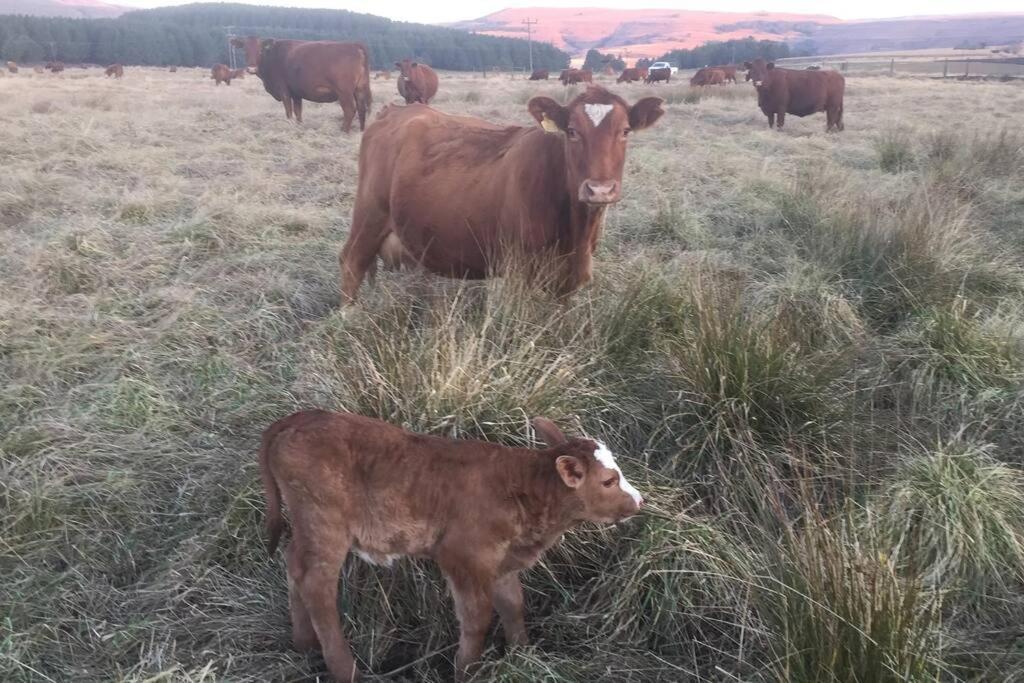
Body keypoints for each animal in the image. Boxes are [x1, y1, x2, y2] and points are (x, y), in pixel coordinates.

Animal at [231, 36, 372, 133]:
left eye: (260, 50)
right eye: (245, 50)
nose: (251, 69)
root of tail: (354, 45)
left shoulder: (284, 90)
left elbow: (288, 111)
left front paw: (289, 126)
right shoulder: (296, 93)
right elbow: (298, 111)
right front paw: (299, 126)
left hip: (344, 92)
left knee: (350, 110)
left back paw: (343, 131)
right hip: (359, 89)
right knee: (362, 109)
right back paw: (361, 131)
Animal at [260, 411, 643, 683]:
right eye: (608, 481)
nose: (639, 500)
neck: (521, 488)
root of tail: (296, 418)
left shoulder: (500, 561)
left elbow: (513, 604)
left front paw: (522, 655)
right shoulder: (463, 556)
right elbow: (477, 618)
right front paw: (465, 672)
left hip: (308, 528)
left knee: (294, 565)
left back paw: (304, 645)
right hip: (326, 526)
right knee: (317, 585)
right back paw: (346, 671)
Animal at [335, 83, 663, 303]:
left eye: (625, 131)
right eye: (571, 131)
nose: (599, 189)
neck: (576, 231)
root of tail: (395, 110)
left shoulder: (568, 281)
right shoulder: (519, 271)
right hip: (369, 215)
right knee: (352, 262)